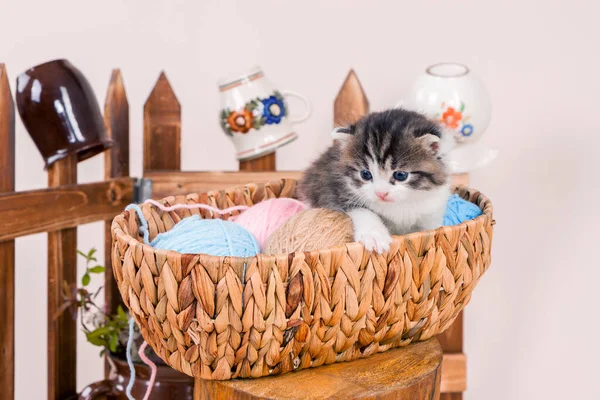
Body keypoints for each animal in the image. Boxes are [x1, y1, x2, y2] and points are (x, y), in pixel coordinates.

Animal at [298, 108, 452, 253]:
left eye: (400, 175)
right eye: (365, 174)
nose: (381, 194)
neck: (400, 204)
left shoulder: (432, 209)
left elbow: (430, 229)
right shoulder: (335, 191)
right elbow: (363, 211)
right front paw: (374, 236)